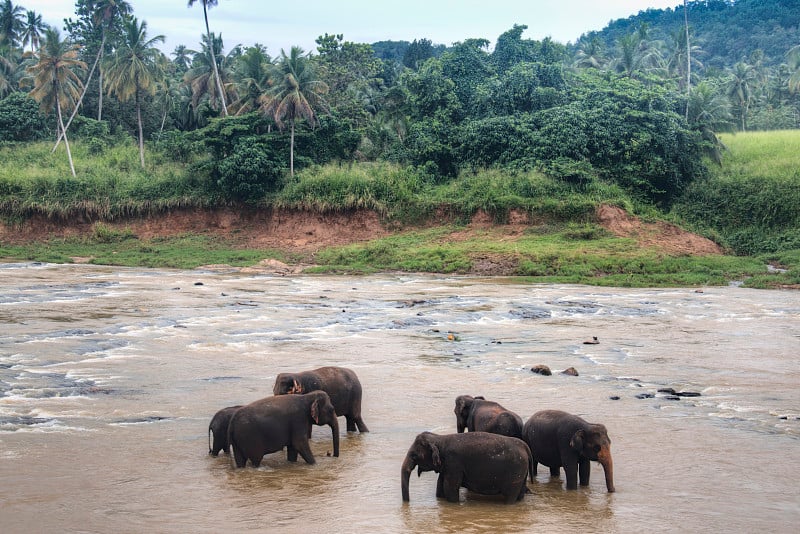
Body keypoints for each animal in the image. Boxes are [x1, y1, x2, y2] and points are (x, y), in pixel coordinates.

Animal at [398, 434, 532, 504]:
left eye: (414, 455)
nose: (408, 503)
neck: (440, 439)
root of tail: (526, 447)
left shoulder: (454, 464)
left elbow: (450, 488)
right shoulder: (447, 466)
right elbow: (440, 487)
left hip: (515, 472)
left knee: (511, 495)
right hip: (522, 472)